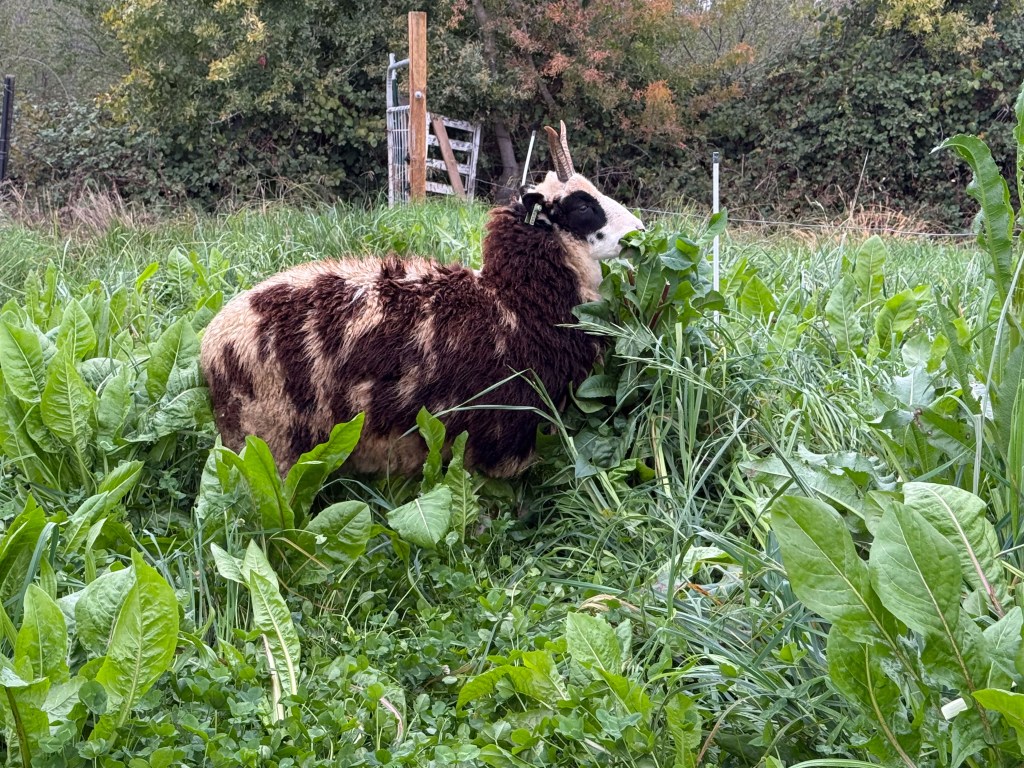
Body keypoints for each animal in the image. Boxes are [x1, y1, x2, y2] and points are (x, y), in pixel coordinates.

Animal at [200, 122, 644, 476]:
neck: (516, 301)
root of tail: (211, 343)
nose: (640, 230)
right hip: (270, 446)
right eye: (583, 206)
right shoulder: (509, 433)